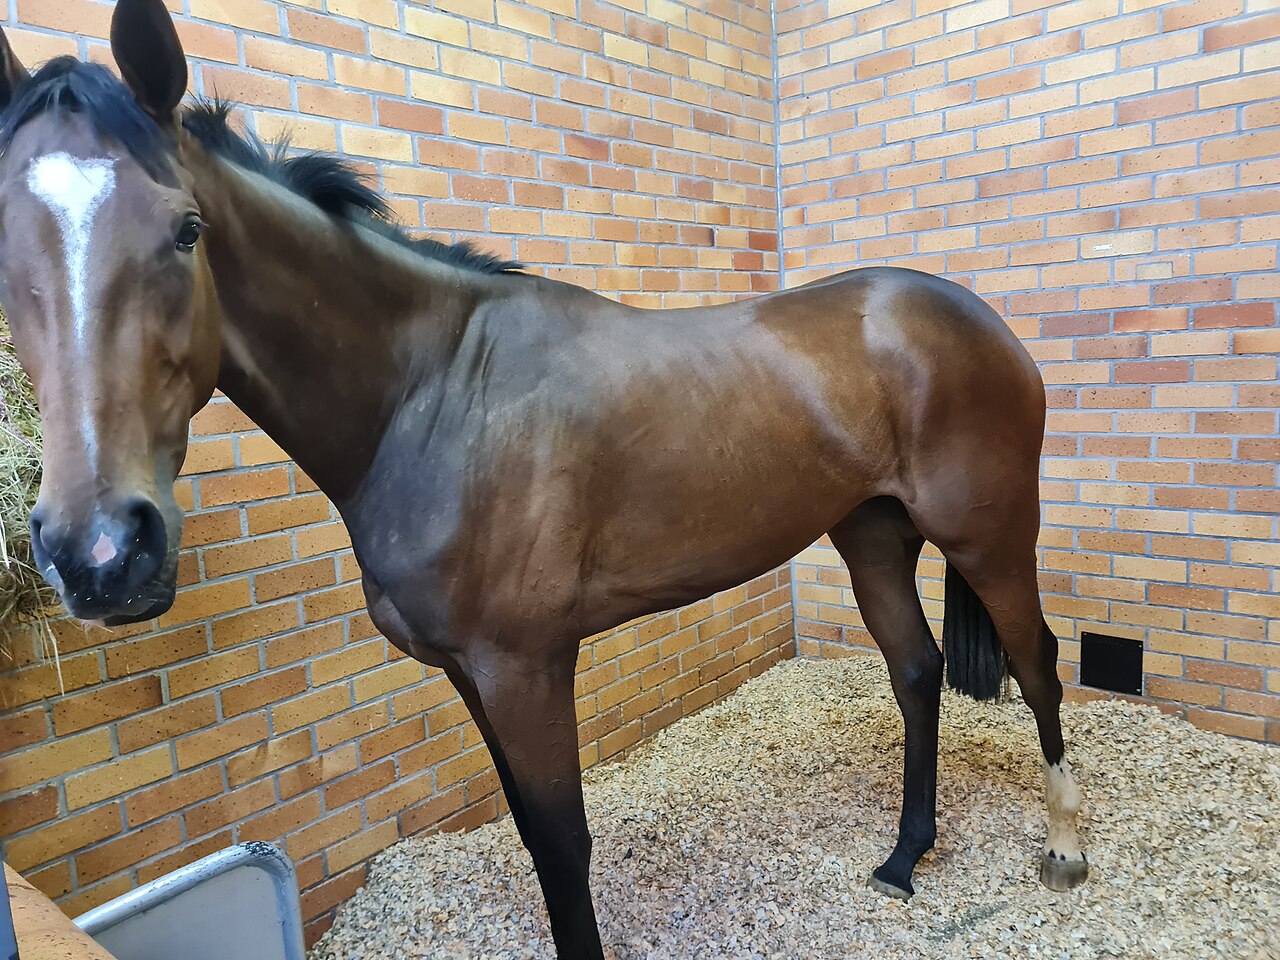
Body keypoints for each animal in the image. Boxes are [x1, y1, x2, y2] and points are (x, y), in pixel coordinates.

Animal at [0, 3, 1087, 957]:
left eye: (186, 230)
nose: (99, 552)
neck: (431, 396)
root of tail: (970, 316)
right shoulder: (466, 673)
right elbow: (530, 833)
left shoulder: (526, 667)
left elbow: (564, 847)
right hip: (870, 532)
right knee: (915, 672)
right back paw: (904, 858)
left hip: (990, 533)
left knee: (1036, 662)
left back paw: (1065, 851)